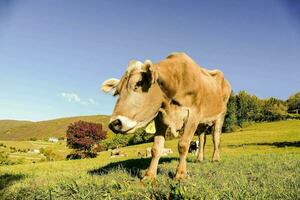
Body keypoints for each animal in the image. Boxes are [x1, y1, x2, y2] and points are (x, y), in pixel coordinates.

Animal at [102, 52, 231, 180]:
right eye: (117, 92)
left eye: (139, 83)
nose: (114, 123)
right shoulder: (160, 117)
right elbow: (156, 148)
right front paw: (149, 176)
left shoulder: (193, 114)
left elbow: (183, 144)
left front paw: (180, 174)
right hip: (202, 123)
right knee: (202, 138)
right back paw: (199, 159)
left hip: (220, 115)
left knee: (215, 137)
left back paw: (215, 158)